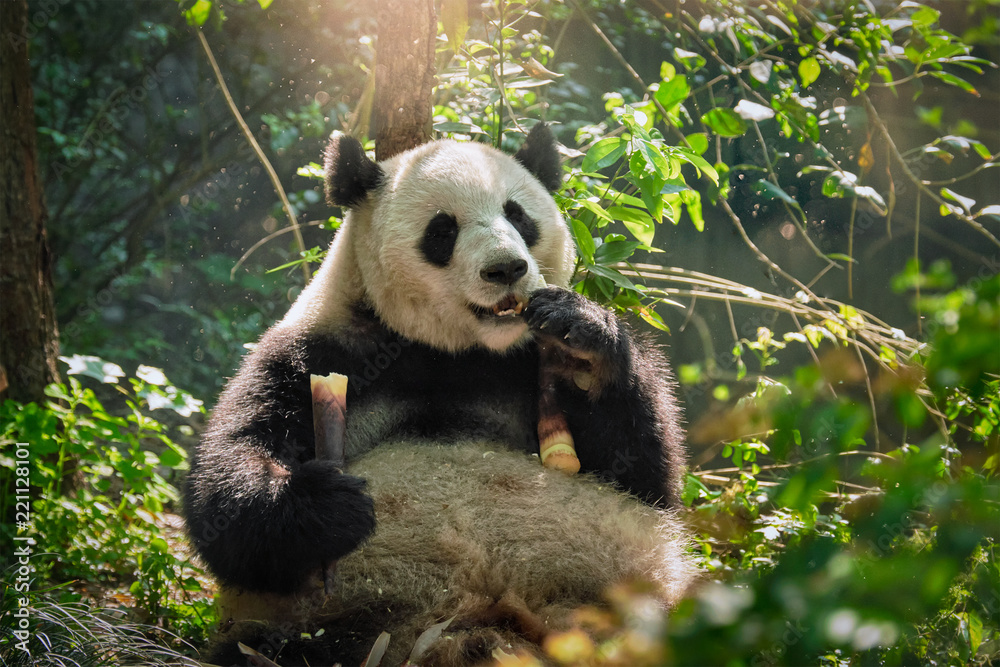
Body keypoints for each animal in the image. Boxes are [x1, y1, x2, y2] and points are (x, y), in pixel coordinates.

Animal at [184, 124, 694, 666]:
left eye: (518, 214)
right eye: (442, 230)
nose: (506, 269)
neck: (453, 351)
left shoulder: (523, 366)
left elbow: (644, 476)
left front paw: (581, 344)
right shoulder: (316, 354)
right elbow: (226, 489)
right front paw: (330, 505)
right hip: (337, 621)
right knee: (275, 648)